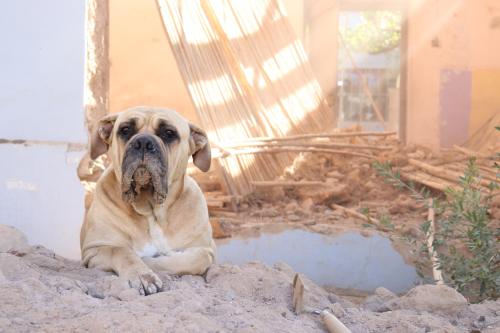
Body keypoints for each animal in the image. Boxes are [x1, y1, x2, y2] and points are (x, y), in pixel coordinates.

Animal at [80, 105, 215, 294]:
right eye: (125, 130)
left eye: (169, 133)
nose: (143, 142)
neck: (151, 210)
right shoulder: (94, 249)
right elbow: (122, 251)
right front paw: (142, 275)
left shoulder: (205, 250)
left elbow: (195, 259)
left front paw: (152, 261)